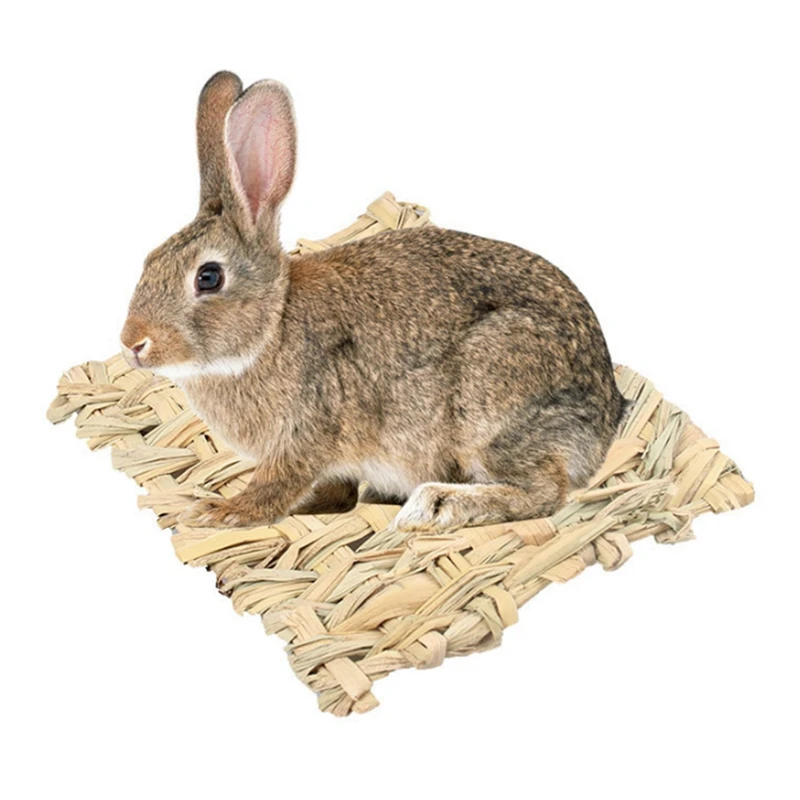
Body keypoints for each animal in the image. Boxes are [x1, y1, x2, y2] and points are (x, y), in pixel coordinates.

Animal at [121, 71, 628, 532]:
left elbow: (276, 486)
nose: (132, 344)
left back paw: (437, 506)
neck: (272, 327)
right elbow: (334, 492)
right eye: (148, 260)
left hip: (492, 401)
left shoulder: (306, 434)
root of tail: (606, 416)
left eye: (208, 277)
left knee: (544, 493)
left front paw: (219, 511)